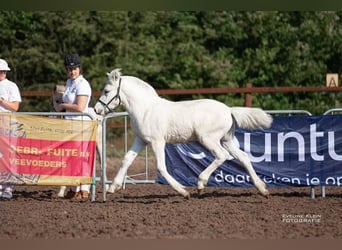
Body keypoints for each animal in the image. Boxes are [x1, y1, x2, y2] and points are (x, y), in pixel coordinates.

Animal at [94, 69, 272, 199]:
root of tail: (228, 110)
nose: (97, 109)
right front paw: (112, 188)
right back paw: (263, 189)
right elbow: (126, 160)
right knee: (243, 157)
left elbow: (161, 167)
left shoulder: (157, 142)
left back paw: (200, 184)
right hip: (225, 140)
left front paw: (184, 192)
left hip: (208, 139)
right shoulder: (141, 140)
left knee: (222, 155)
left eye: (106, 91)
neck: (145, 109)